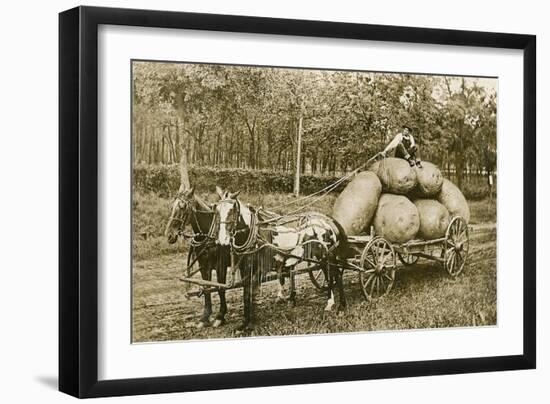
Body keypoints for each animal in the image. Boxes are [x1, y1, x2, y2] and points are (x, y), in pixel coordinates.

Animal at [166, 186, 231, 328]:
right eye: (172, 206)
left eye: (183, 207)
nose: (169, 235)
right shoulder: (203, 265)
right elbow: (206, 288)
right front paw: (204, 317)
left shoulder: (221, 265)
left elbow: (220, 288)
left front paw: (220, 316)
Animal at [213, 189, 348, 332]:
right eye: (216, 210)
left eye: (232, 210)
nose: (222, 241)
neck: (255, 235)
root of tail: (327, 220)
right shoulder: (246, 269)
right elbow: (247, 294)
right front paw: (248, 321)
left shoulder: (257, 270)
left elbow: (248, 294)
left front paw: (246, 324)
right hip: (321, 257)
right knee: (329, 276)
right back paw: (329, 303)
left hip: (329, 255)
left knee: (337, 276)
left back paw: (342, 307)